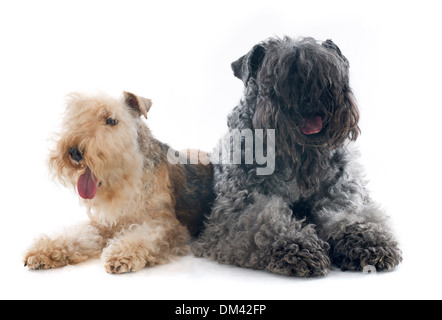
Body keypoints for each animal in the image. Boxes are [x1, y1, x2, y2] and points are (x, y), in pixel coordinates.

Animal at [24, 91, 214, 274]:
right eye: (77, 117)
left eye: (111, 121)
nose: (74, 152)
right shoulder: (103, 224)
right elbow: (78, 235)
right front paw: (43, 251)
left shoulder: (166, 226)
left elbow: (142, 237)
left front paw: (121, 254)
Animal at [192, 36, 402, 276]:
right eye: (277, 73)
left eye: (329, 69)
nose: (313, 95)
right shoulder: (239, 207)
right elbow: (266, 221)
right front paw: (298, 246)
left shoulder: (342, 196)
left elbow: (350, 216)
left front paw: (367, 240)